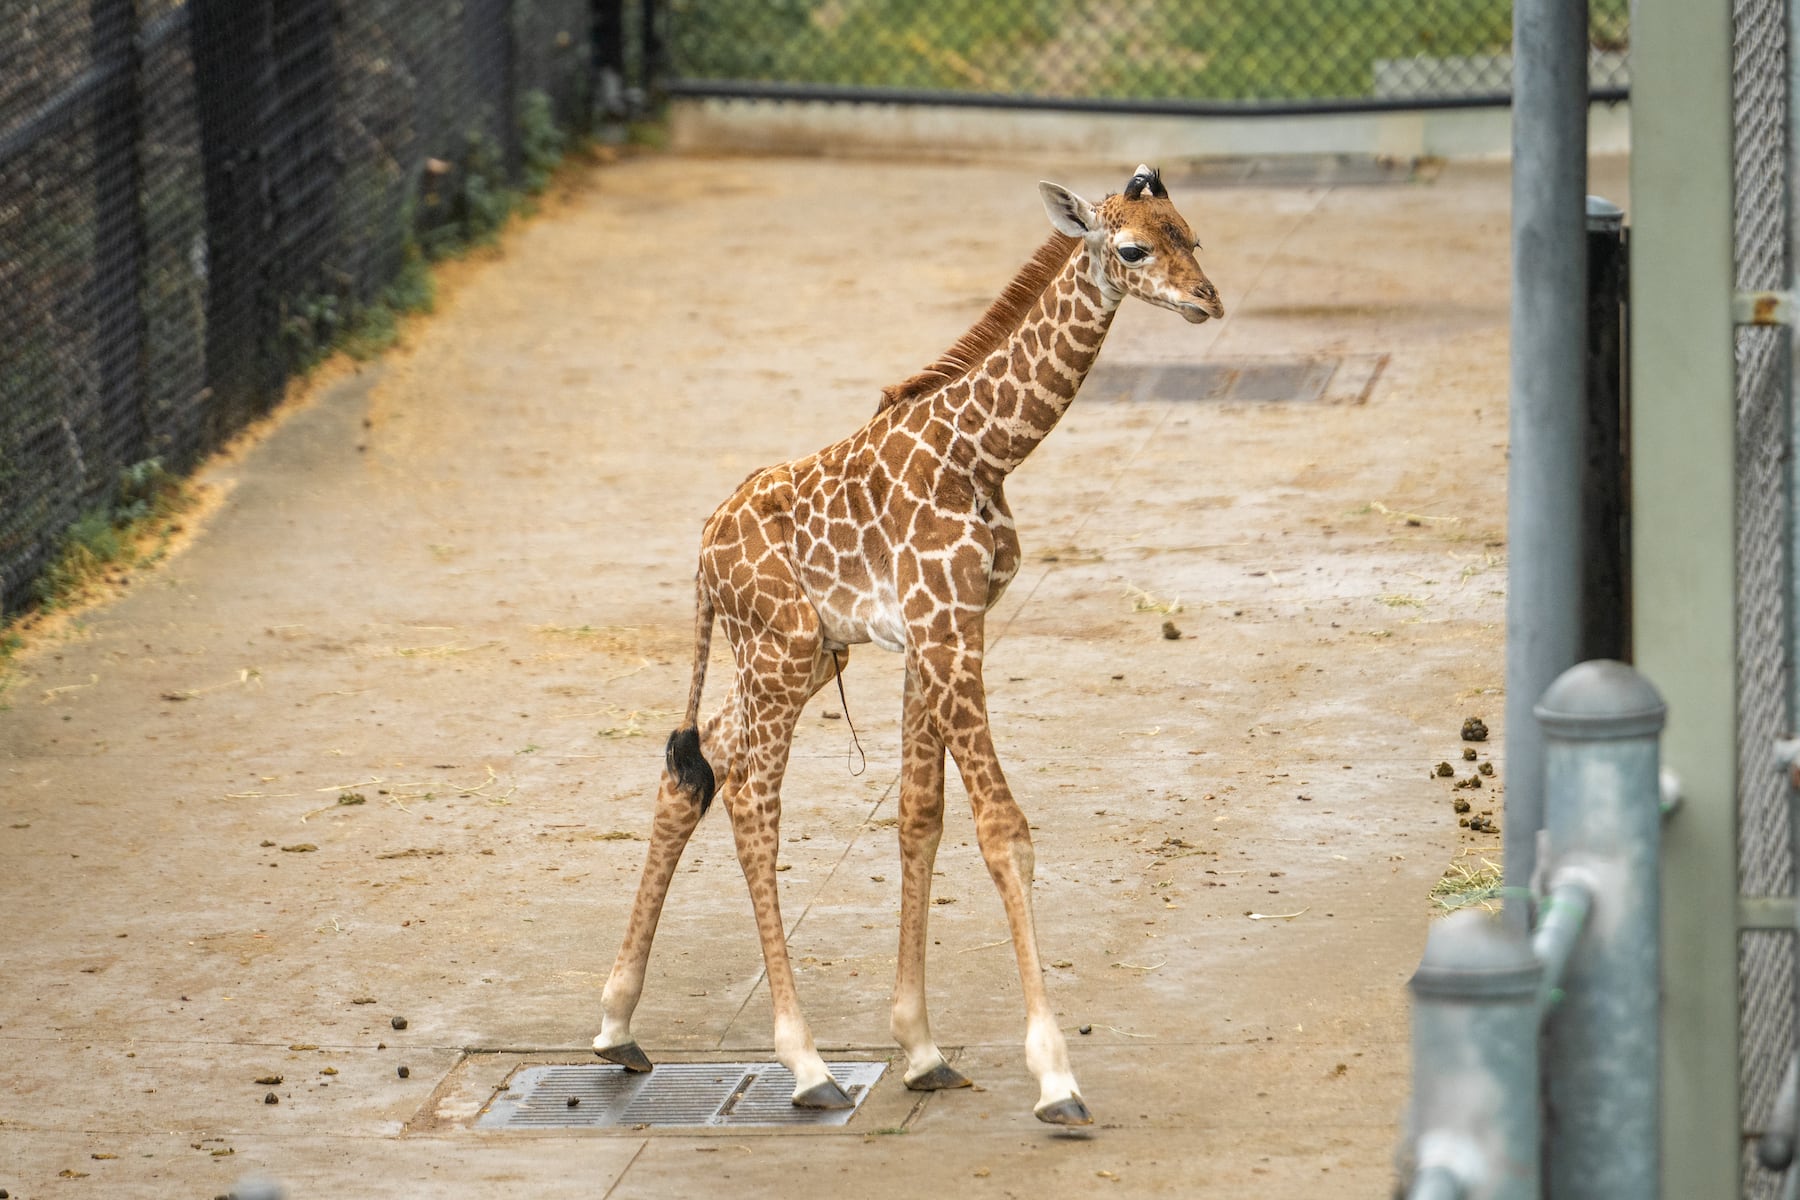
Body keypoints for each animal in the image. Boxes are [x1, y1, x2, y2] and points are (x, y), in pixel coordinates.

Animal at [593, 165, 1223, 1126]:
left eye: (1191, 233)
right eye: (1132, 249)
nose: (1208, 301)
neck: (985, 450)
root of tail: (701, 554)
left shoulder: (945, 630)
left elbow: (920, 817)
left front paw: (923, 1051)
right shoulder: (945, 626)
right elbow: (1003, 829)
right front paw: (1056, 1079)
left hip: (805, 654)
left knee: (700, 762)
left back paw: (617, 1027)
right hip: (780, 650)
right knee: (751, 799)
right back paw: (806, 1063)